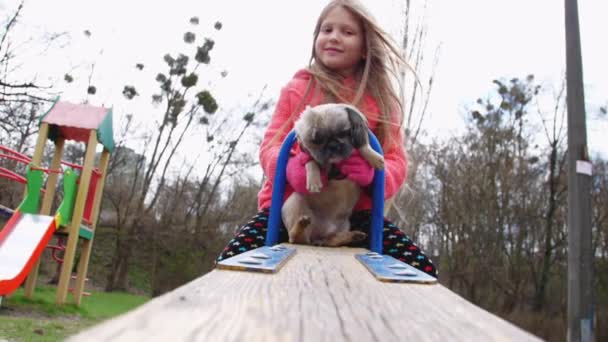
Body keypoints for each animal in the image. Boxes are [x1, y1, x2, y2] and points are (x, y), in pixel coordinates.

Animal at [282, 103, 384, 247]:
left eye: (344, 133)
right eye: (316, 141)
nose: (333, 145)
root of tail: (316, 238)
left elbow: (363, 146)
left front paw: (374, 157)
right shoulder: (309, 156)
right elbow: (311, 162)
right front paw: (314, 181)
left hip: (343, 226)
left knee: (331, 241)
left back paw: (352, 236)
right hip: (295, 202)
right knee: (294, 238)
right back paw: (301, 225)